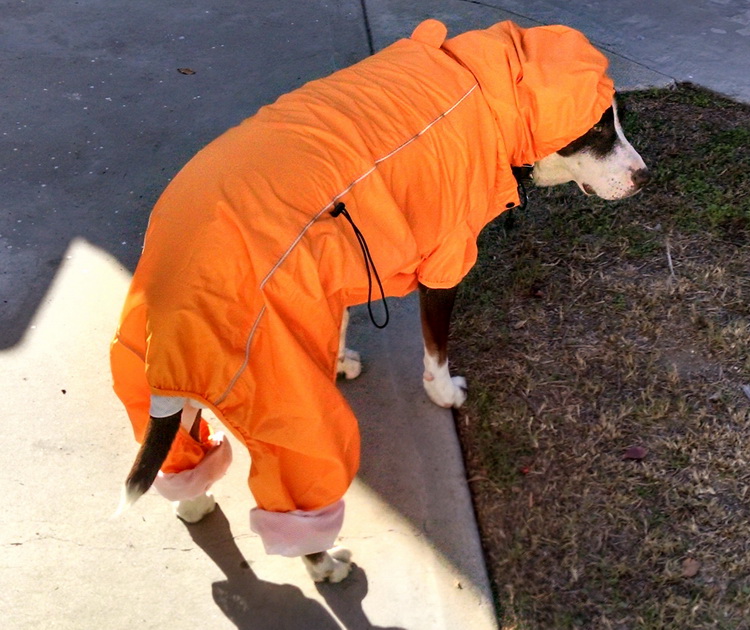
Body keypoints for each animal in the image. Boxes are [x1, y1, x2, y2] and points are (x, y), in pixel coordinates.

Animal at [114, 17, 648, 584]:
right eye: (596, 131)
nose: (645, 176)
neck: (480, 91)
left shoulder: (336, 266)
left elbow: (344, 317)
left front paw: (338, 357)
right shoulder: (444, 261)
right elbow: (436, 349)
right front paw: (443, 393)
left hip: (168, 368)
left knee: (174, 442)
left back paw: (192, 501)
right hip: (286, 404)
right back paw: (324, 563)